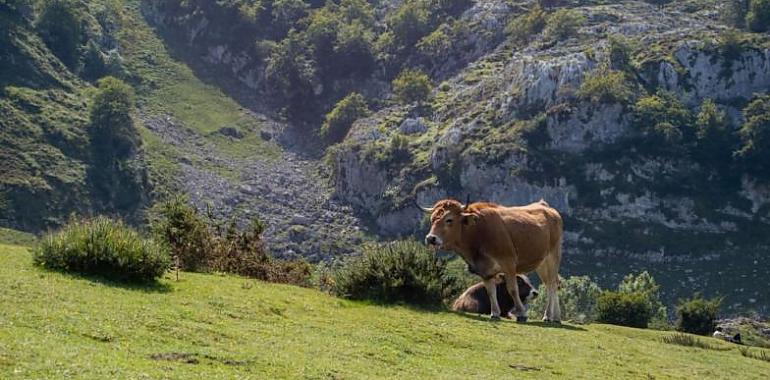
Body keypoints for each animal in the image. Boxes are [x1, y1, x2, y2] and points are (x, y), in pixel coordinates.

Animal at [416, 197, 560, 322]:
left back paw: (552, 317)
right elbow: (491, 291)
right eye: (432, 219)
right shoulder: (484, 269)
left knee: (553, 285)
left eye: (449, 219)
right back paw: (552, 316)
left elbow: (513, 289)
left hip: (553, 257)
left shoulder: (509, 263)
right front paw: (495, 313)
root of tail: (544, 206)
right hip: (541, 263)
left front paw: (522, 314)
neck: (479, 232)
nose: (431, 238)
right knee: (549, 284)